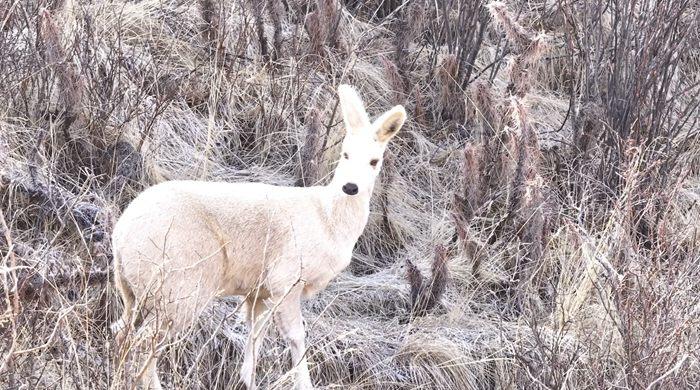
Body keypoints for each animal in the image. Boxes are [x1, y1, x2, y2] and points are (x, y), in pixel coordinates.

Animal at [112, 84, 408, 388]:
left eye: (374, 161)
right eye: (345, 154)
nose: (350, 187)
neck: (326, 219)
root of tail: (120, 236)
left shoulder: (260, 291)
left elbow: (256, 336)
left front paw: (248, 380)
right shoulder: (286, 277)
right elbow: (296, 336)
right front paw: (303, 383)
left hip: (133, 292)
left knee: (121, 331)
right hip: (178, 287)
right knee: (143, 342)